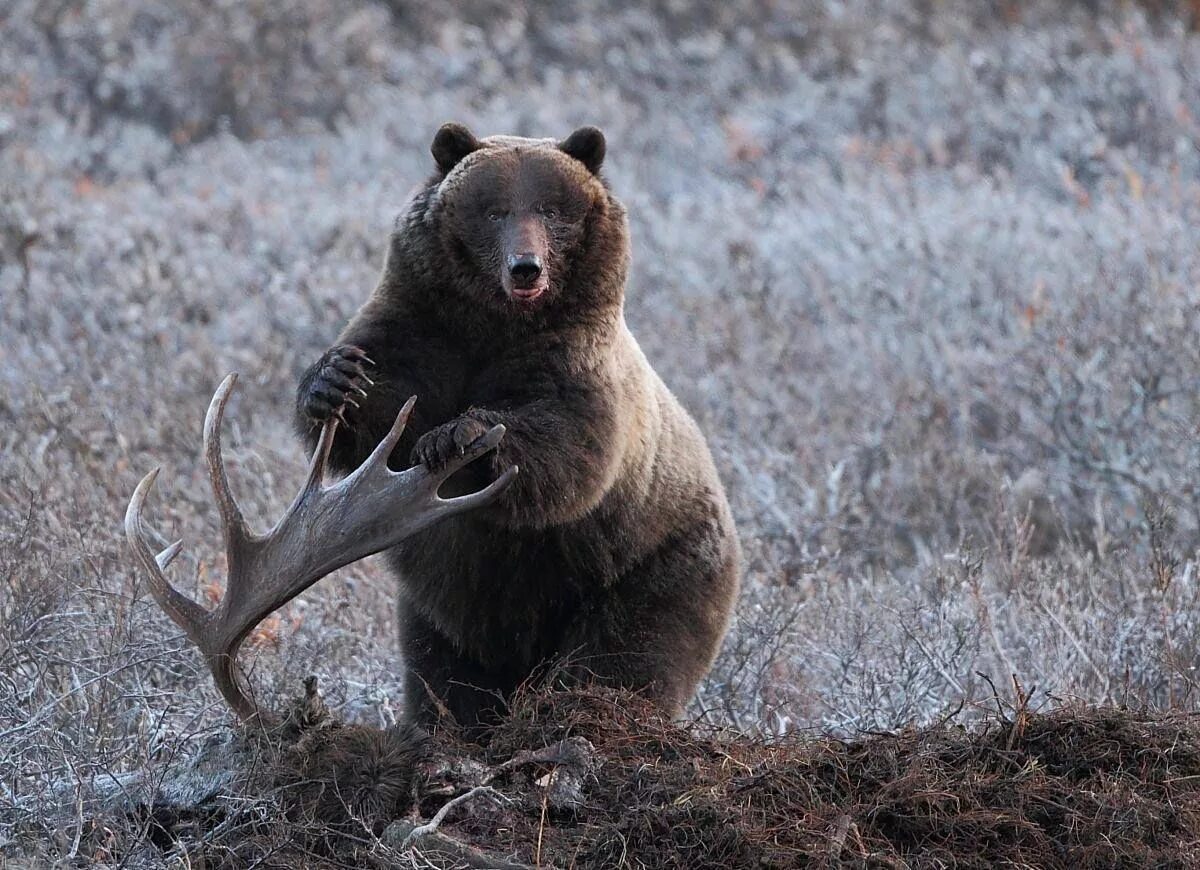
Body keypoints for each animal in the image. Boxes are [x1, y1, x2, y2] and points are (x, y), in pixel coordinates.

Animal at [294, 123, 739, 724]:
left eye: (551, 208)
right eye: (493, 210)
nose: (525, 267)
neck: (496, 322)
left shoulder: (573, 358)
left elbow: (567, 442)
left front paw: (457, 436)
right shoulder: (422, 326)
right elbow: (376, 409)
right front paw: (335, 382)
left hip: (646, 566)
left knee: (624, 657)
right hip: (440, 612)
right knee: (446, 676)